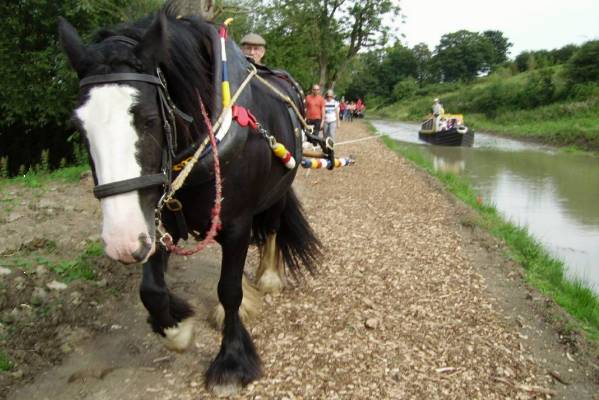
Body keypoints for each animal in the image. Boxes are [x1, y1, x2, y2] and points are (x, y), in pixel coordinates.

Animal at [60, 5, 322, 394]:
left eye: (149, 119)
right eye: (79, 127)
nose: (122, 242)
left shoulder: (237, 222)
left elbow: (229, 289)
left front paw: (231, 361)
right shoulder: (156, 215)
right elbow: (151, 288)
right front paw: (176, 328)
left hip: (278, 188)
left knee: (272, 228)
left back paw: (268, 277)